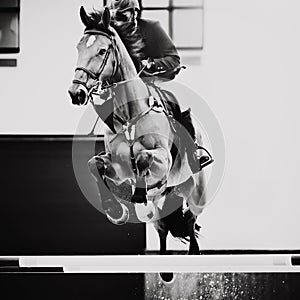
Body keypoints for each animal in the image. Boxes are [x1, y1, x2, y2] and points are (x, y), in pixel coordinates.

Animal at [69, 7, 212, 278]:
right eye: (78, 48)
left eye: (102, 51)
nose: (76, 93)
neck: (130, 115)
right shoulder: (117, 166)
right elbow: (95, 164)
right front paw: (116, 209)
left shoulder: (163, 158)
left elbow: (145, 157)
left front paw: (139, 192)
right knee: (163, 226)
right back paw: (165, 269)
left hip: (197, 189)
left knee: (190, 219)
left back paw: (193, 255)